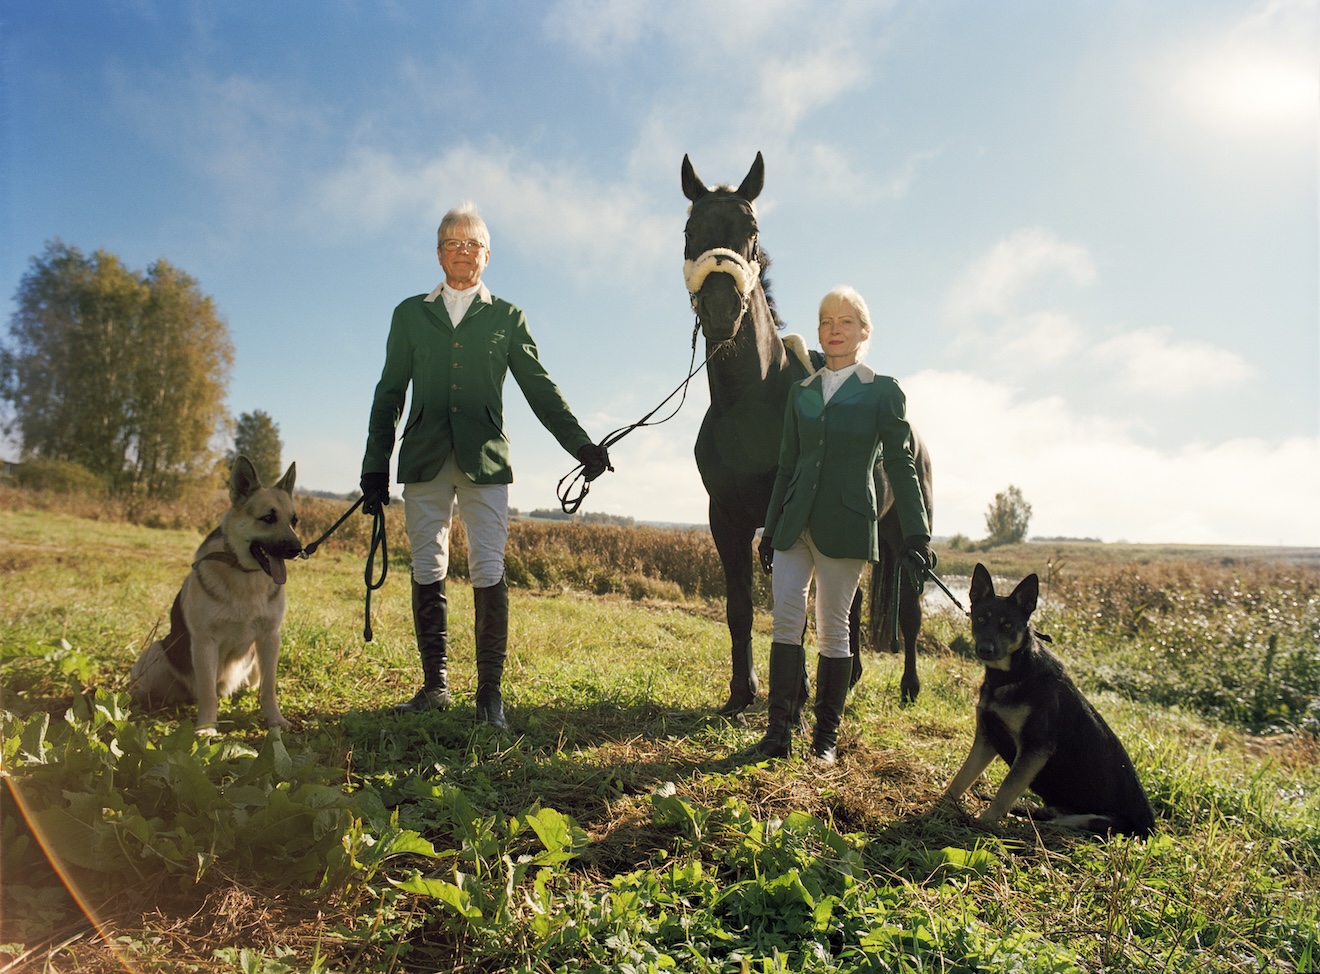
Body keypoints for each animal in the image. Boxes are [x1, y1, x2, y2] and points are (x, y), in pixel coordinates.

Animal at [130, 454, 302, 728]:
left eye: (294, 521)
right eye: (268, 518)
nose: (298, 549)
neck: (245, 576)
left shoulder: (270, 638)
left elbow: (269, 688)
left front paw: (276, 719)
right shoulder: (204, 642)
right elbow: (208, 692)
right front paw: (206, 728)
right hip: (157, 650)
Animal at [686, 153, 934, 712]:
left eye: (752, 231)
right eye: (690, 230)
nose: (720, 310)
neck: (751, 403)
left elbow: (795, 613)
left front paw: (794, 694)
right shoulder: (725, 519)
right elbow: (739, 608)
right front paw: (742, 692)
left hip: (905, 536)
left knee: (909, 615)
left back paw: (909, 687)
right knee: (853, 602)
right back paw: (852, 676)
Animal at [939, 562, 1156, 834]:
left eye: (1007, 625)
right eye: (980, 619)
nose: (985, 650)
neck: (1013, 674)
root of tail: (1151, 828)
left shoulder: (1035, 748)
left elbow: (1006, 788)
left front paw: (986, 820)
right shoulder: (987, 737)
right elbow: (963, 776)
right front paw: (941, 806)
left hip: (1098, 820)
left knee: (1061, 822)